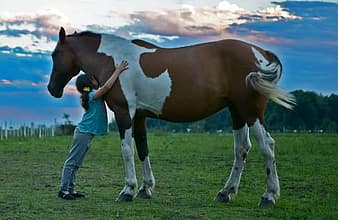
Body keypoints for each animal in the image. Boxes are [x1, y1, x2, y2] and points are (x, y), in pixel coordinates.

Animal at [46, 27, 294, 206]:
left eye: (55, 54)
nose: (52, 89)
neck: (113, 60)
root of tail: (261, 53)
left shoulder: (124, 112)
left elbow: (127, 151)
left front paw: (128, 190)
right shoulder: (139, 117)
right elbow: (142, 149)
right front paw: (145, 188)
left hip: (250, 111)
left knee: (267, 146)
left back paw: (269, 195)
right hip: (237, 112)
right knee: (242, 149)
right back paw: (226, 192)